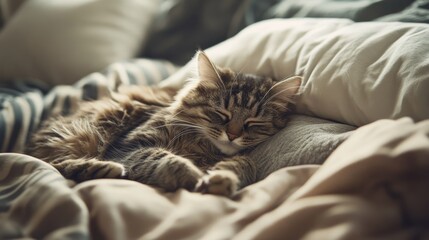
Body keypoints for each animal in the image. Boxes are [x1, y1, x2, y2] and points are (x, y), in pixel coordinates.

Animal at [25, 51, 300, 197]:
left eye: (253, 122)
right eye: (221, 114)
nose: (231, 135)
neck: (201, 148)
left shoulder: (242, 158)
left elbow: (243, 164)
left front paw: (220, 179)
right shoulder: (131, 145)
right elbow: (165, 158)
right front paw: (192, 176)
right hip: (81, 137)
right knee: (52, 164)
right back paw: (104, 168)